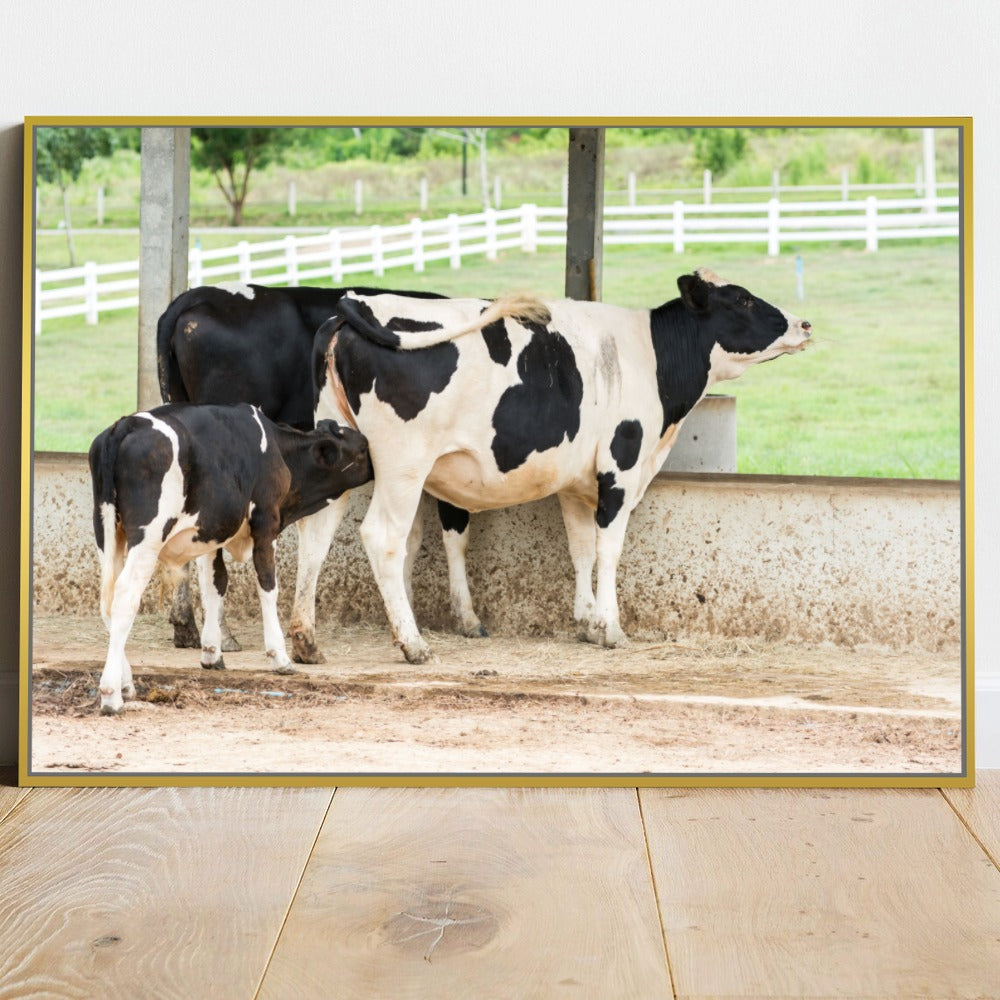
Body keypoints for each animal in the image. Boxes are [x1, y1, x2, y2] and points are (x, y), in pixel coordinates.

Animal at [88, 402, 372, 715]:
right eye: (362, 449)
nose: (376, 464)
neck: (278, 448)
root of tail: (124, 425)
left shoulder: (212, 532)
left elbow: (215, 585)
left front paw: (212, 652)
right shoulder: (266, 522)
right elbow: (268, 586)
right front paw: (279, 657)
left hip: (107, 534)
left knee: (107, 603)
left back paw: (126, 683)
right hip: (147, 537)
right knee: (125, 596)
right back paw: (111, 694)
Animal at [155, 281, 481, 662]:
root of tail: (194, 296)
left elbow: (412, 535)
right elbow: (454, 530)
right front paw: (466, 619)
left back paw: (186, 627)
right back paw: (222, 634)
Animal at [309, 268, 812, 664]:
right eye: (743, 299)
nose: (804, 323)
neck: (650, 357)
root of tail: (355, 306)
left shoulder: (576, 483)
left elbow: (581, 549)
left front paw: (587, 622)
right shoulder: (619, 469)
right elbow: (609, 550)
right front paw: (611, 628)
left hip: (341, 449)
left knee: (317, 532)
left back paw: (305, 639)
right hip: (404, 465)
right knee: (383, 538)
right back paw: (412, 644)